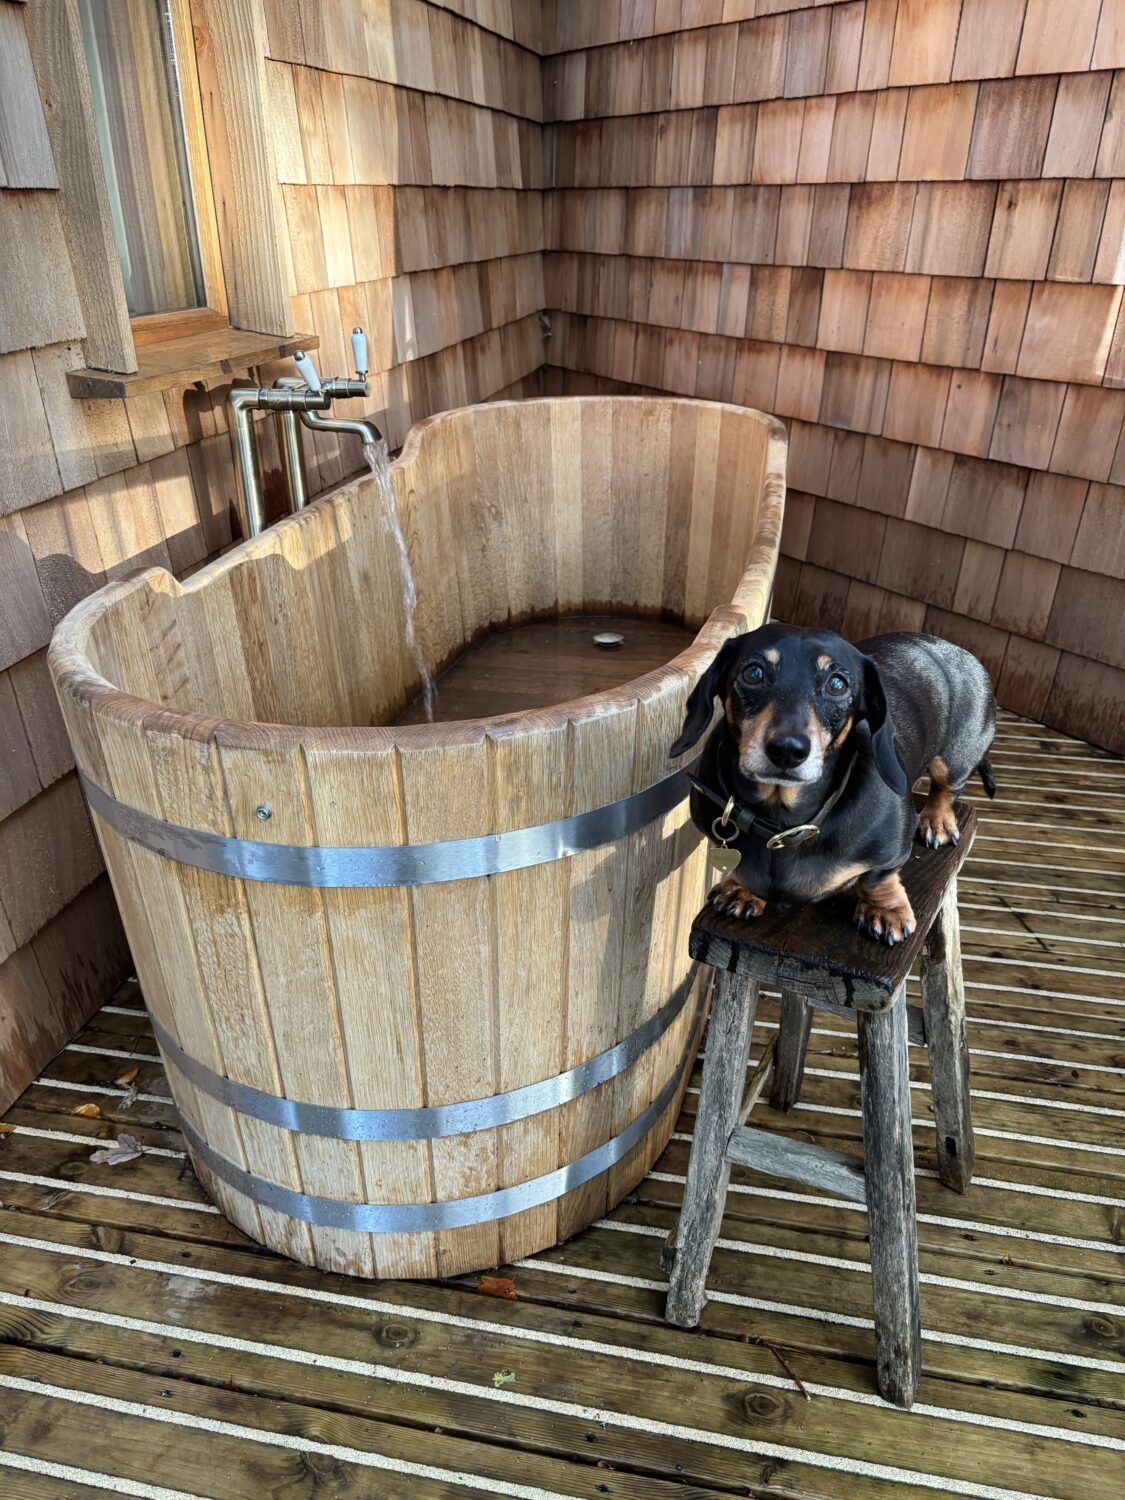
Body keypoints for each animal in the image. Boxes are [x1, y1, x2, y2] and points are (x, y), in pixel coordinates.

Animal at [670, 626, 996, 945]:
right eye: (753, 673)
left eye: (837, 684)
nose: (787, 750)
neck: (781, 823)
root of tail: (956, 648)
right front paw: (740, 889)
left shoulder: (892, 853)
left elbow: (879, 877)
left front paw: (885, 911)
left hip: (954, 761)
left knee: (946, 789)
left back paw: (937, 821)